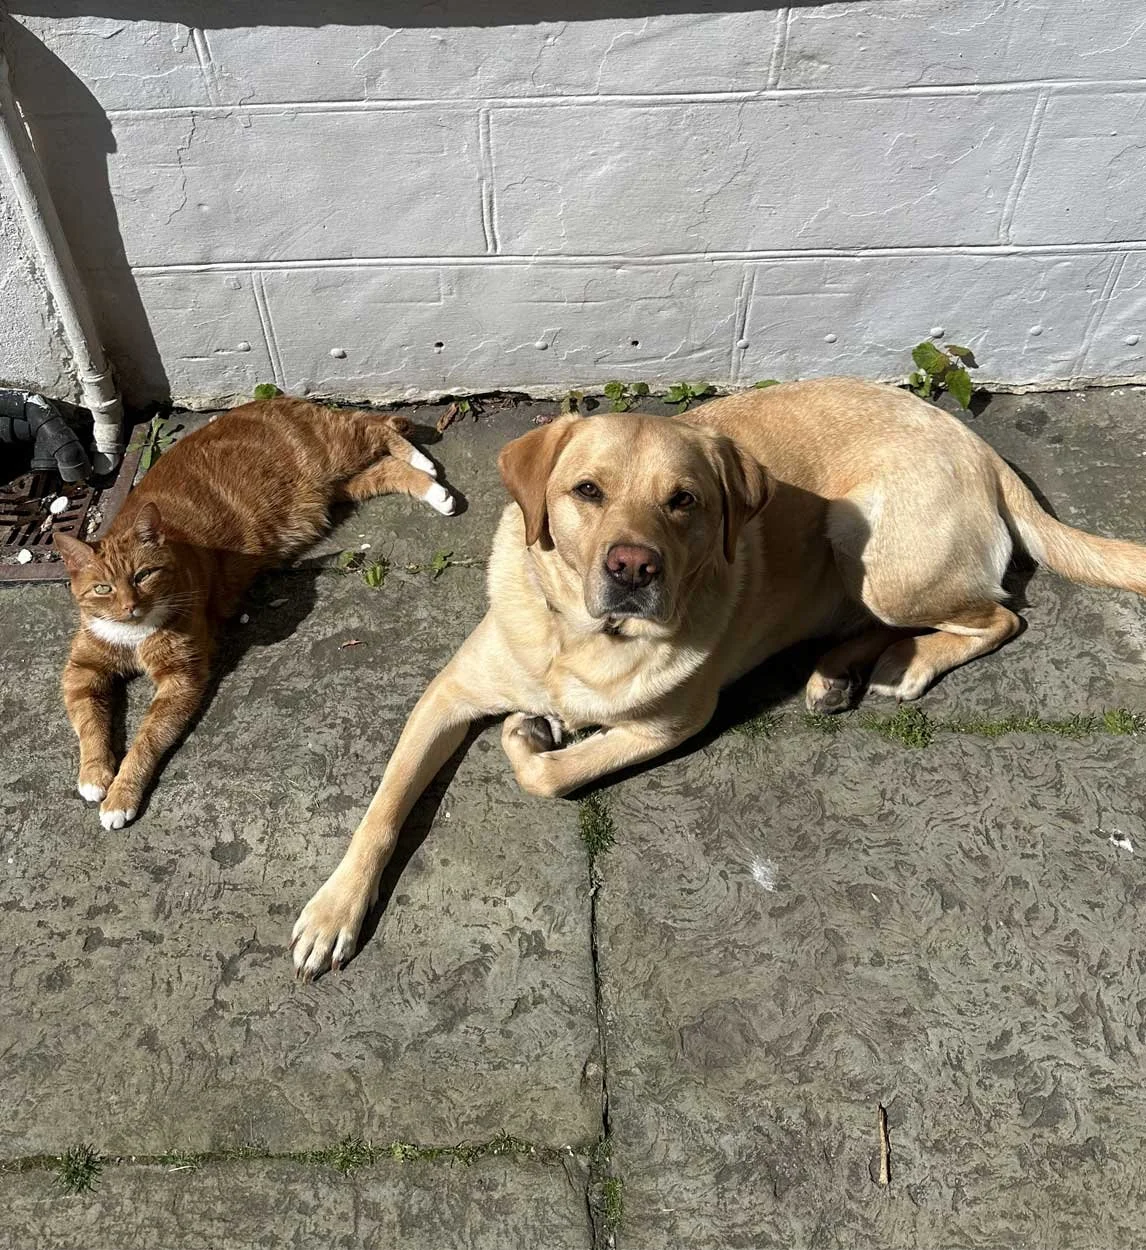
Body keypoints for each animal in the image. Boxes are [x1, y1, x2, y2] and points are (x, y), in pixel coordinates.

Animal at [54, 396, 454, 831]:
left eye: (143, 575)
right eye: (103, 589)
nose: (130, 605)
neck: (134, 633)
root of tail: (275, 399)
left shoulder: (181, 680)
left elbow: (146, 740)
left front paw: (120, 795)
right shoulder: (83, 671)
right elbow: (88, 723)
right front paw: (94, 775)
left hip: (335, 450)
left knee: (376, 427)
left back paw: (424, 463)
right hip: (344, 485)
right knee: (385, 467)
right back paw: (430, 485)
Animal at [290, 378, 1146, 977]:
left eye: (684, 502)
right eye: (587, 491)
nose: (633, 567)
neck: (584, 640)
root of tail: (977, 446)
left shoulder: (672, 724)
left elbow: (550, 773)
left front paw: (534, 738)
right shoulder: (447, 695)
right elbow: (384, 806)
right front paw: (335, 911)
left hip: (874, 550)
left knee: (1001, 616)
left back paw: (908, 666)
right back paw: (837, 671)